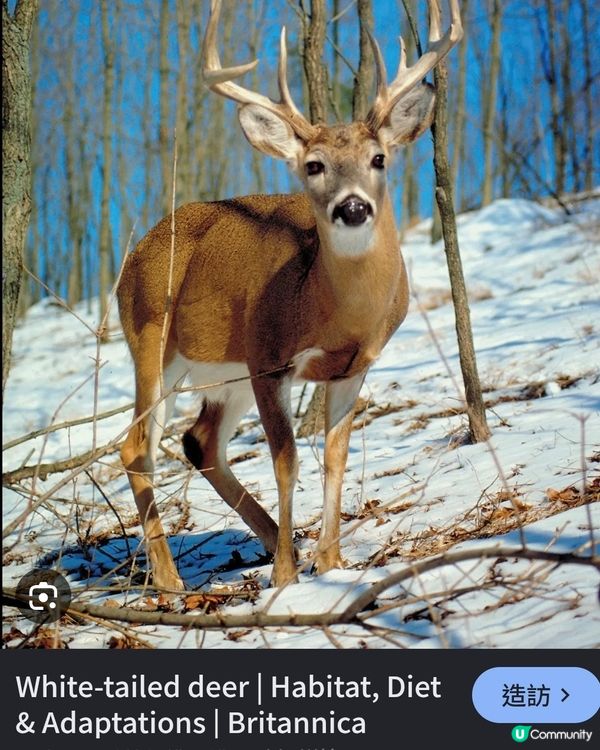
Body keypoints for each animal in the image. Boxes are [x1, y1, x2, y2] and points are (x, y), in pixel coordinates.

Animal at [118, 0, 462, 591]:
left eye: (379, 158)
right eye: (313, 165)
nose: (353, 207)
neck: (332, 313)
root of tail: (131, 259)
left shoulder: (353, 366)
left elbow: (334, 456)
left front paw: (330, 562)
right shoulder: (269, 359)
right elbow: (287, 459)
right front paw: (284, 576)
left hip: (224, 373)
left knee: (199, 440)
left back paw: (278, 540)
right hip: (152, 341)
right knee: (137, 445)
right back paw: (169, 577)